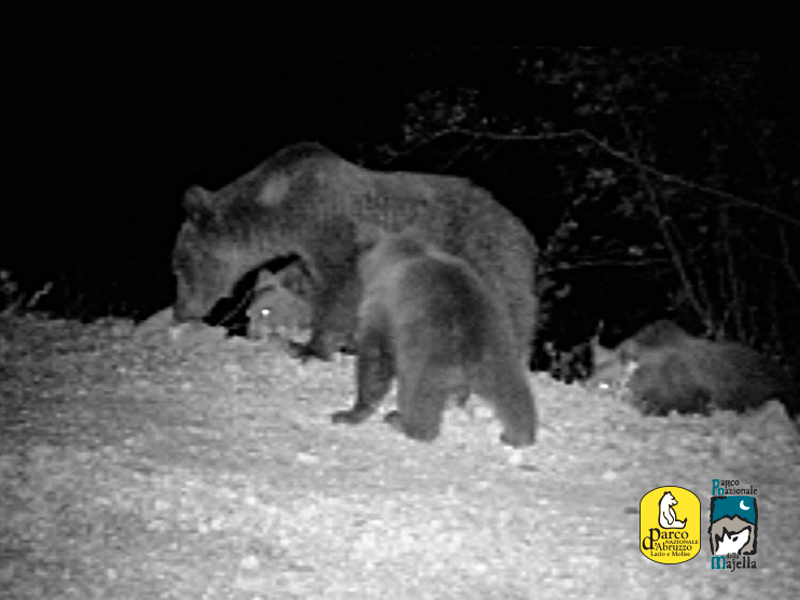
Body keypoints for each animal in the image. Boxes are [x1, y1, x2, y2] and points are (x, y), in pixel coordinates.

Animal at [171, 142, 538, 362]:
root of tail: (518, 225)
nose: (180, 310)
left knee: (511, 305)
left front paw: (310, 347)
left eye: (177, 267)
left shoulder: (334, 233)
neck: (281, 212)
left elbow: (338, 289)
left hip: (483, 249)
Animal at [331, 229, 538, 447]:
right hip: (497, 353)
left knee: (418, 393)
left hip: (430, 357)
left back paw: (406, 423)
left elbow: (376, 354)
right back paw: (518, 435)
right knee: (512, 391)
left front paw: (351, 413)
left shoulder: (384, 302)